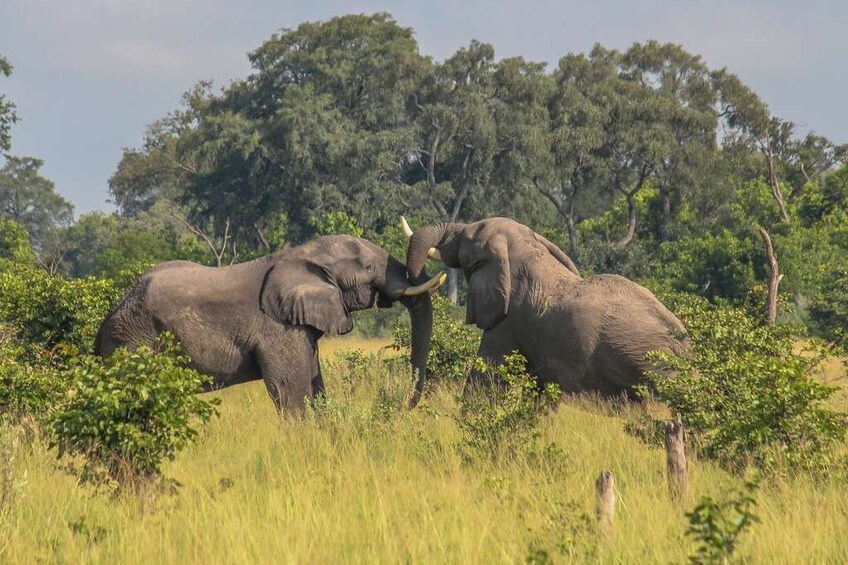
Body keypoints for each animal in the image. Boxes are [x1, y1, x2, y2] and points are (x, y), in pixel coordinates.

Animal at [97, 235, 448, 414]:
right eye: (370, 267)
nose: (404, 405)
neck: (299, 254)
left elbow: (315, 384)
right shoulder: (277, 327)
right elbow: (290, 390)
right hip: (134, 340)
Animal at [402, 216, 688, 396]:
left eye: (467, 236)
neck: (528, 250)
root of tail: (686, 348)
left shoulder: (509, 321)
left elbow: (486, 377)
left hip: (646, 363)